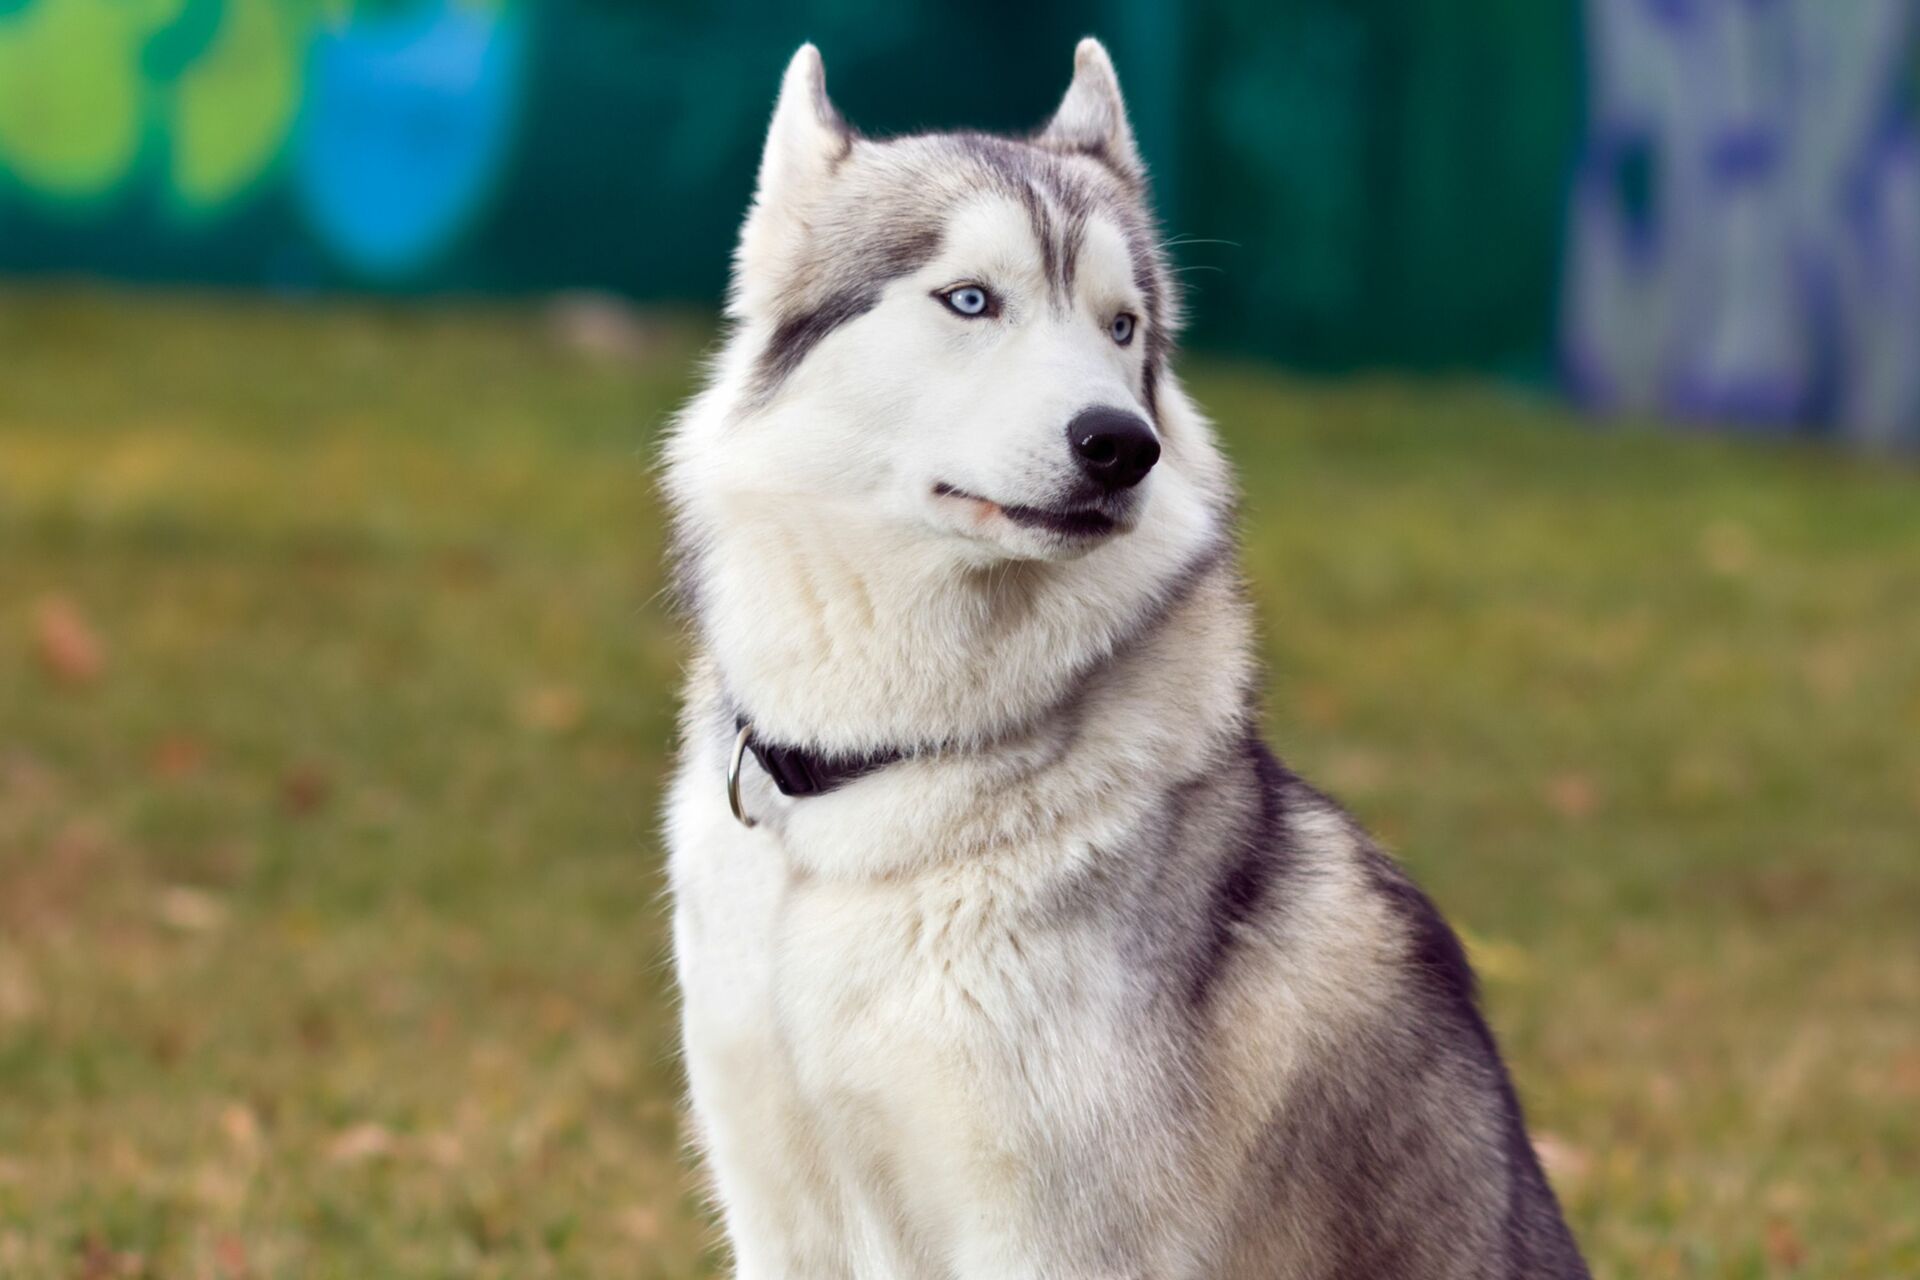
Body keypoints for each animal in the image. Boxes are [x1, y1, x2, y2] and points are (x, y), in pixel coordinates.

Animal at [664, 40, 1589, 1280]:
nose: (1122, 444)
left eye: (1121, 327)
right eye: (971, 298)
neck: (867, 784)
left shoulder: (1051, 1234)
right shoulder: (782, 1210)